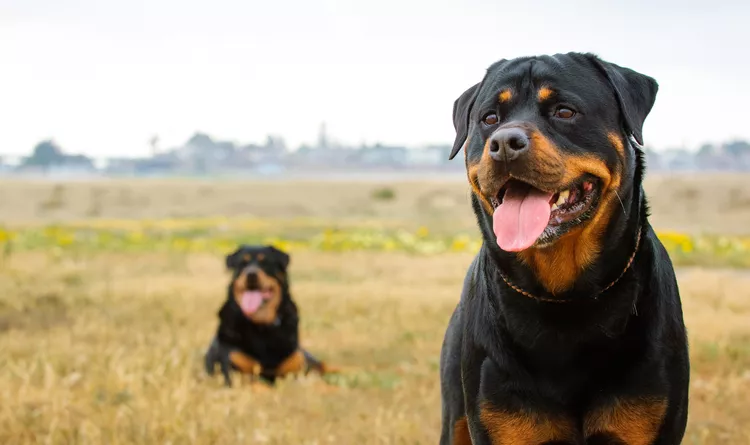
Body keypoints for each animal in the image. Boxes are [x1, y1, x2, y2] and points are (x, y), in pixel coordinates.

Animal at [203, 243, 332, 386]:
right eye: (242, 263)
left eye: (265, 262)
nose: (251, 274)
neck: (262, 325)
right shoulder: (235, 372)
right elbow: (259, 385)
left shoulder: (297, 365)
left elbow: (319, 384)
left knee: (325, 365)